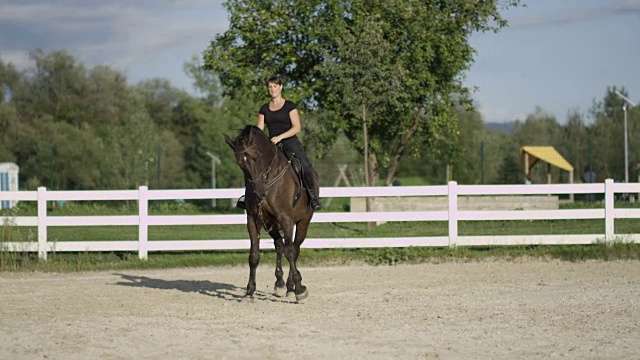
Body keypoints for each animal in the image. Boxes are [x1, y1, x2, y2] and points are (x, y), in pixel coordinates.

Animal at [224, 125, 318, 302]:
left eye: (256, 157)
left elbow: (290, 252)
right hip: (271, 224)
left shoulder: (286, 219)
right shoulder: (253, 220)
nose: (260, 192)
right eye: (240, 164)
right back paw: (281, 284)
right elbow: (254, 256)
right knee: (279, 244)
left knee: (294, 248)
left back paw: (291, 286)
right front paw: (249, 291)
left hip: (303, 221)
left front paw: (300, 289)